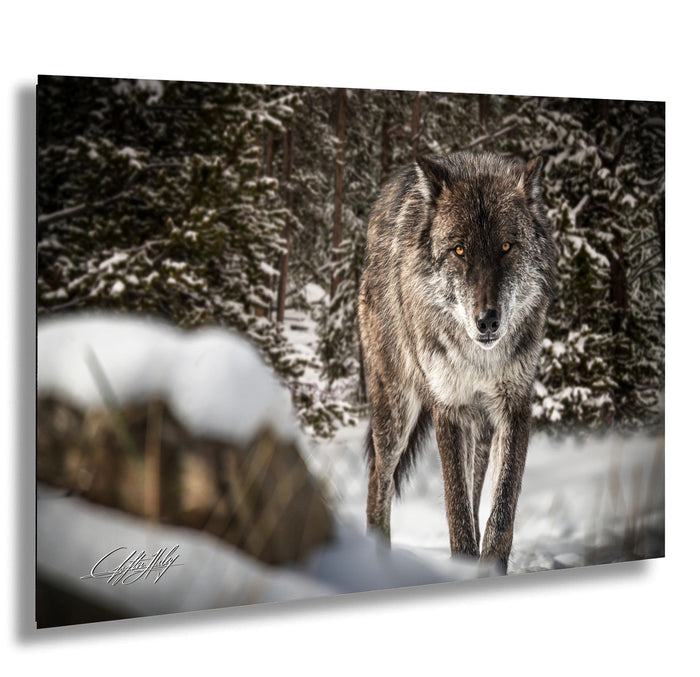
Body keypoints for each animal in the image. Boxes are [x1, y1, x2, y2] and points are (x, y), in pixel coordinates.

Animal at [358, 151, 556, 572]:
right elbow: (457, 511)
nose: (488, 320)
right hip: (396, 413)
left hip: (480, 430)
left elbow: (501, 512)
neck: (479, 360)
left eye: (506, 247)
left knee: (477, 489)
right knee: (378, 479)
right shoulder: (447, 407)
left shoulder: (515, 405)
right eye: (459, 251)